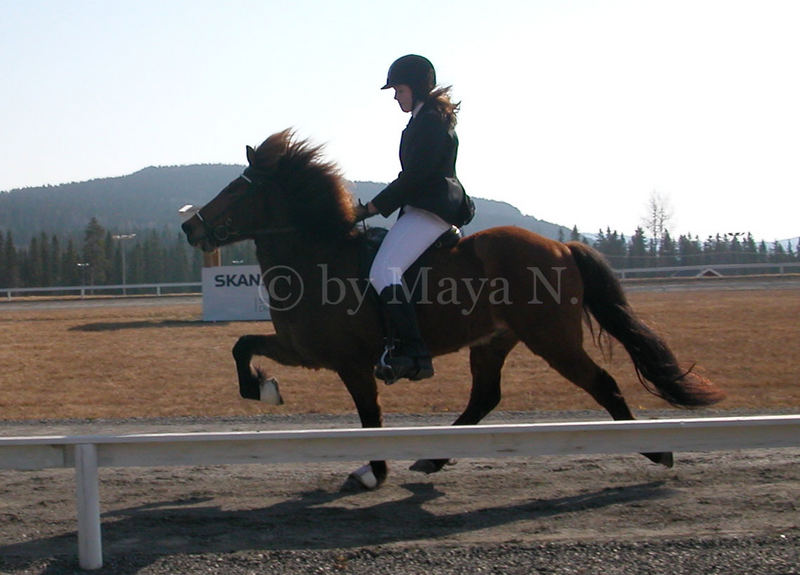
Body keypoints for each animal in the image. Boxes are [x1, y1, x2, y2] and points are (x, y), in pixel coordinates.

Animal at [181, 129, 724, 490]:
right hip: (494, 340)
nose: (190, 227)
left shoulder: (350, 363)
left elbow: (370, 415)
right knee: (484, 397)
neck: (316, 254)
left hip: (552, 339)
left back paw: (657, 449)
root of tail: (561, 247)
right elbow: (241, 345)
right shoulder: (304, 350)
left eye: (238, 188)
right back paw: (432, 458)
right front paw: (263, 388)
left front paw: (373, 471)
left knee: (603, 384)